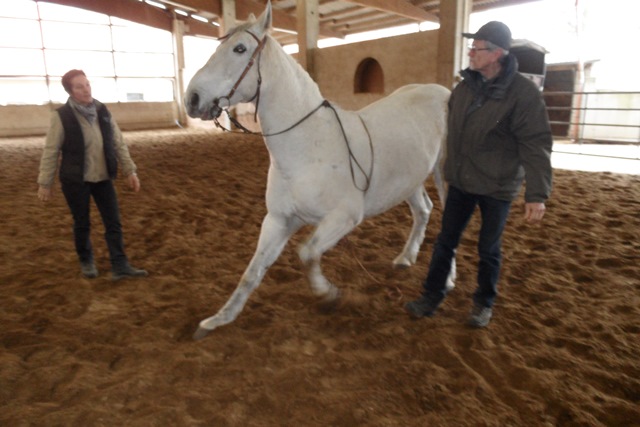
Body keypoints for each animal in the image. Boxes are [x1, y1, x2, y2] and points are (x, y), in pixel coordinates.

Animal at [185, 1, 455, 340]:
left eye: (239, 48)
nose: (192, 99)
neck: (307, 149)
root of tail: (444, 92)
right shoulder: (279, 220)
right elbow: (252, 271)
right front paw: (218, 319)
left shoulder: (343, 218)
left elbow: (307, 254)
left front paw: (330, 295)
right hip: (411, 181)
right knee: (423, 210)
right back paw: (405, 258)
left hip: (445, 177)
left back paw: (447, 279)